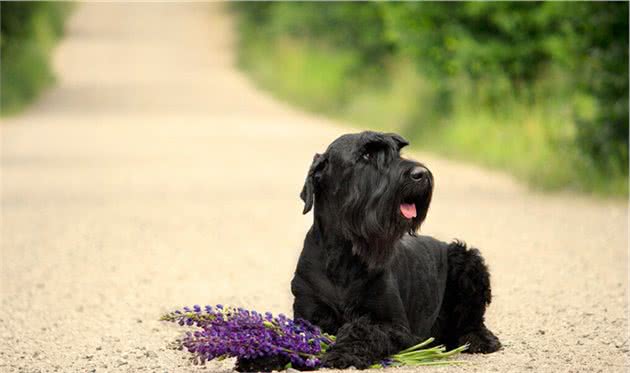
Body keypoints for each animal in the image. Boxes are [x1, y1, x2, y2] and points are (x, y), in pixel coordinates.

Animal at [288, 132, 502, 370]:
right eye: (366, 155)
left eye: (398, 152)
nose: (421, 174)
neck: (344, 254)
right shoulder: (307, 313)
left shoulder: (397, 326)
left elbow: (362, 329)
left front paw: (341, 352)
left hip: (466, 260)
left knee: (472, 321)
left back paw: (479, 340)